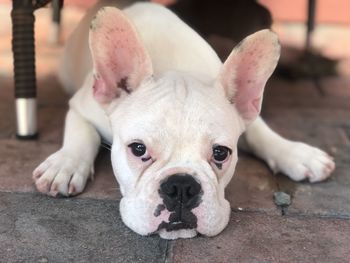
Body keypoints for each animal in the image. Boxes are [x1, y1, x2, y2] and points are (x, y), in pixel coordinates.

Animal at [32, 2, 334, 240]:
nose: (180, 187)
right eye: (138, 149)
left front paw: (298, 154)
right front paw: (64, 165)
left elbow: (262, 133)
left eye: (221, 153)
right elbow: (82, 134)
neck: (175, 66)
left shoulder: (247, 115)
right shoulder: (81, 105)